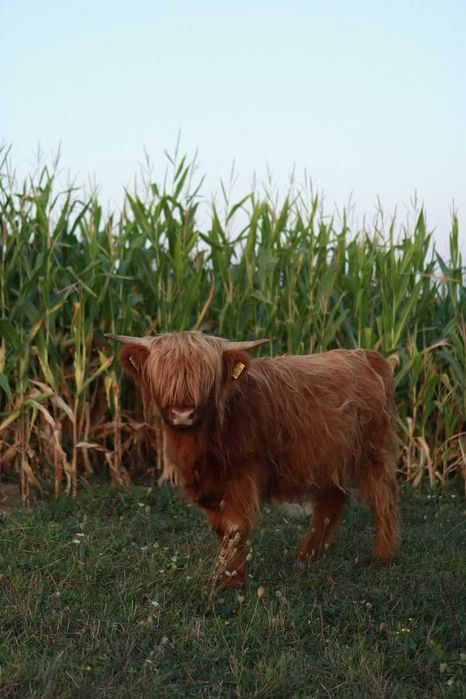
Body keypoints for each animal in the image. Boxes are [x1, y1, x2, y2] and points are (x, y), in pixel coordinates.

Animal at [107, 331, 400, 588]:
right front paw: (225, 570)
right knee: (334, 498)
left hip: (373, 450)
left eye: (205, 377)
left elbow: (236, 526)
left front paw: (231, 582)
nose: (182, 414)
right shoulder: (209, 486)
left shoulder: (244, 472)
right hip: (328, 456)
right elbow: (221, 528)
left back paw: (383, 556)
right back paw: (305, 557)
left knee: (382, 498)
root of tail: (368, 355)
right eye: (163, 375)